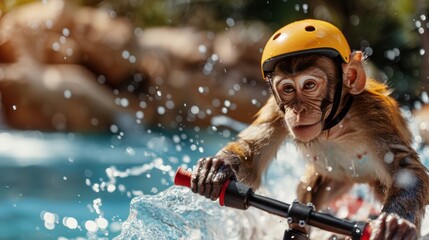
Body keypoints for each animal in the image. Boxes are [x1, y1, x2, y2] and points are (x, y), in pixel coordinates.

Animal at [191, 19, 428, 240]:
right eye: (288, 88)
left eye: (309, 85)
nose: (297, 110)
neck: (333, 125)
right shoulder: (276, 110)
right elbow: (252, 162)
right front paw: (218, 166)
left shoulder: (373, 114)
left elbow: (405, 170)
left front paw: (395, 222)